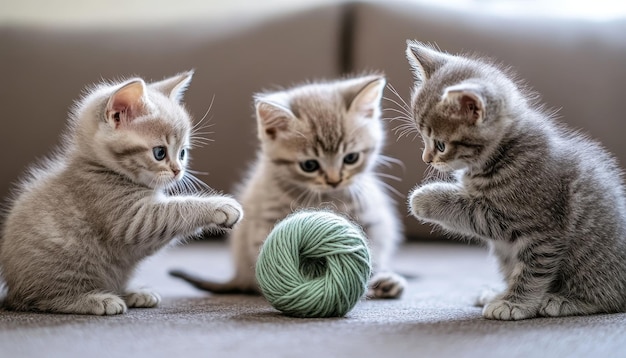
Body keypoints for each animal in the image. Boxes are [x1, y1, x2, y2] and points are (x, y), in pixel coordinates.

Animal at [0, 71, 241, 314]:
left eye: (182, 153)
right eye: (160, 153)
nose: (178, 171)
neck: (102, 169)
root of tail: (11, 290)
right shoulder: (131, 219)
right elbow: (175, 210)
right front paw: (220, 206)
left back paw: (132, 293)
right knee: (42, 299)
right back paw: (95, 299)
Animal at [169, 74, 404, 298]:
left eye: (351, 158)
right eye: (309, 165)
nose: (334, 180)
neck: (324, 196)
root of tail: (237, 277)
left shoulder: (371, 220)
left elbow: (371, 250)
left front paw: (373, 281)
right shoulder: (265, 220)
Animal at [402, 40, 624, 320]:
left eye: (440, 145)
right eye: (423, 138)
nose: (426, 159)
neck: (503, 153)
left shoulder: (541, 228)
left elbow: (531, 271)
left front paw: (514, 303)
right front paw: (504, 296)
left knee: (609, 296)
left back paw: (566, 300)